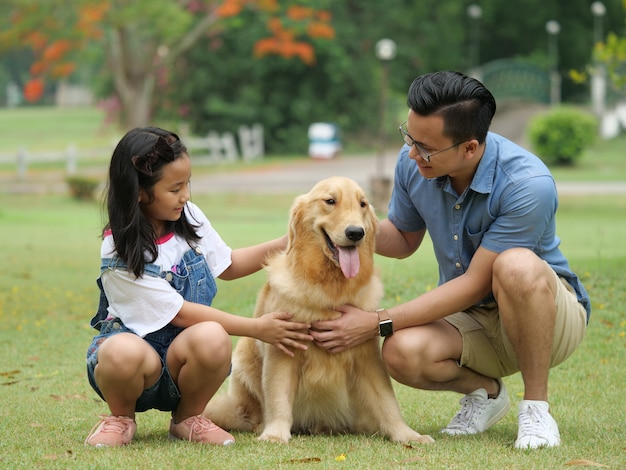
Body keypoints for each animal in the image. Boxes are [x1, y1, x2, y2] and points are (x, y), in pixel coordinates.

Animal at [202, 176, 432, 444]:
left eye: (362, 204)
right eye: (330, 201)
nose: (356, 232)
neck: (329, 287)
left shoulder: (367, 354)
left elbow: (387, 400)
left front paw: (407, 435)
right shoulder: (283, 350)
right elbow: (279, 397)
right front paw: (275, 434)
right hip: (242, 357)